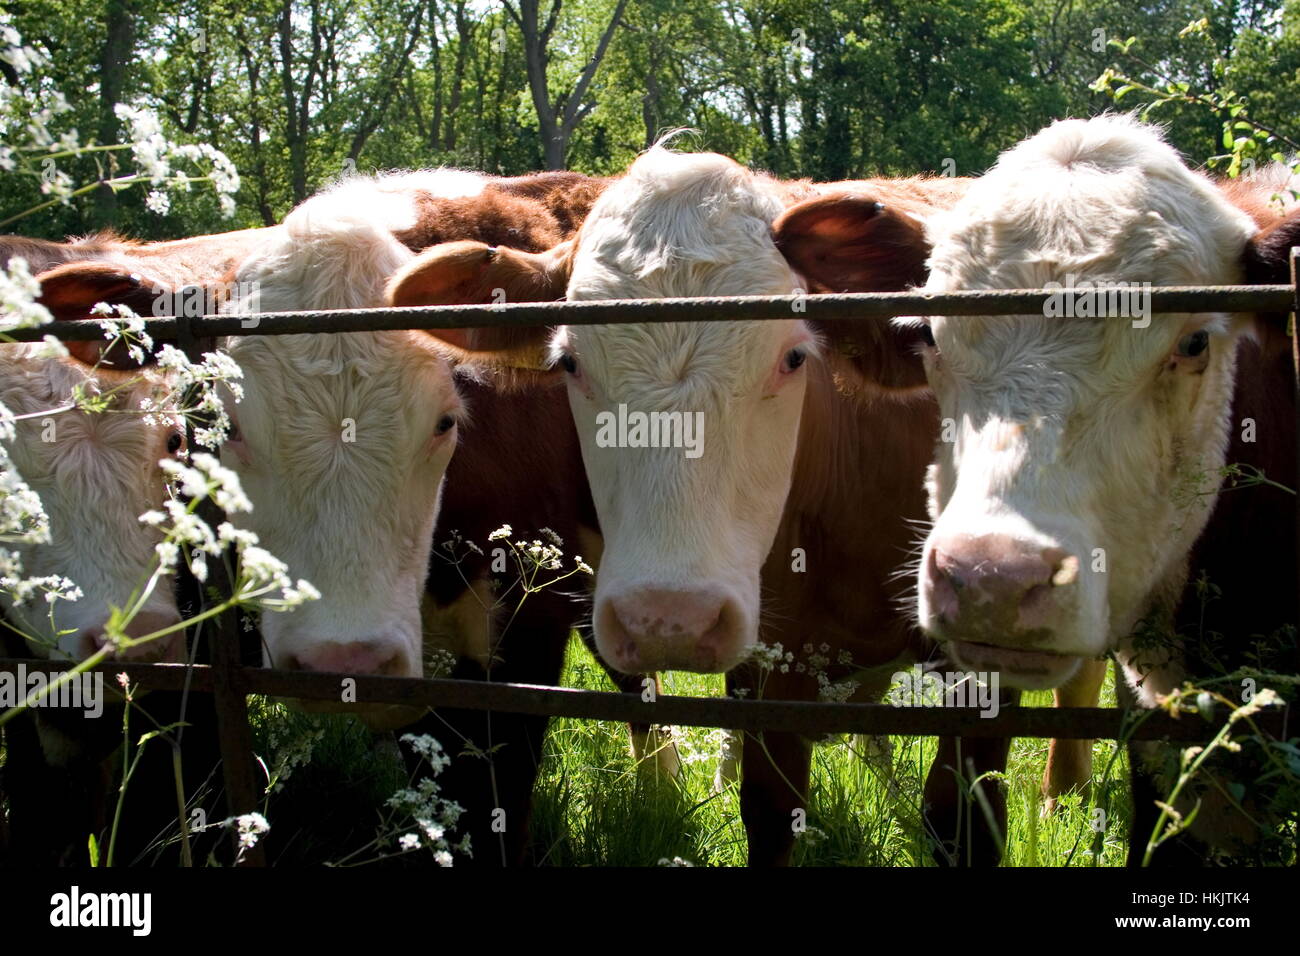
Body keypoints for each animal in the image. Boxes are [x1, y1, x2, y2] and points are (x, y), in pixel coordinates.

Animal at [379, 147, 1008, 868]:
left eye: (794, 356)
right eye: (569, 362)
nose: (668, 618)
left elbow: (964, 817)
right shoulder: (772, 661)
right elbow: (769, 806)